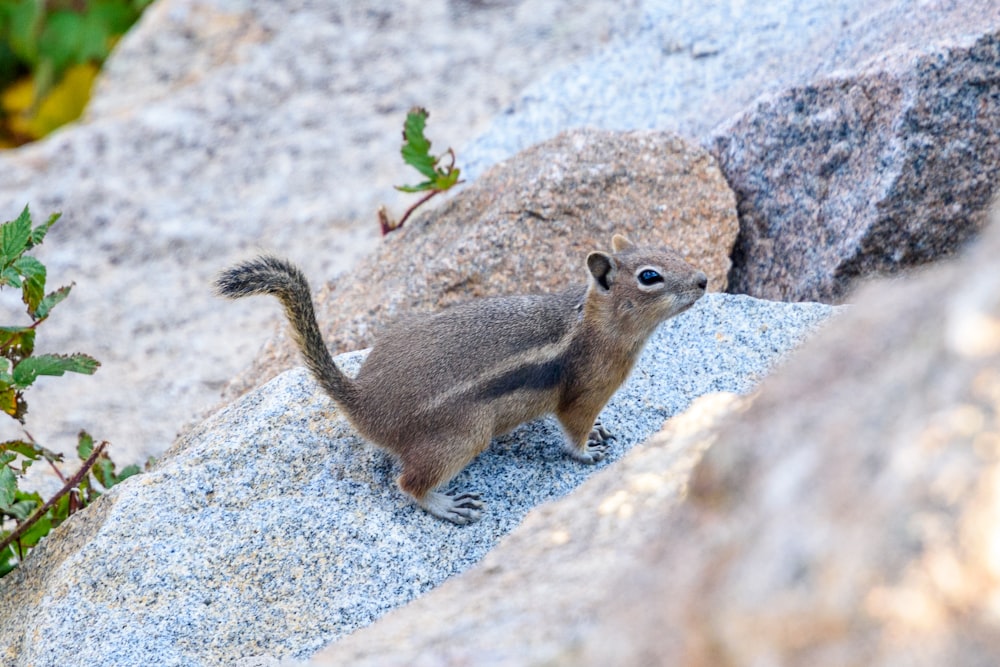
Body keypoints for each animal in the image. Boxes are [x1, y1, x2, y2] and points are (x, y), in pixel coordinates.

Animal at [215, 236, 708, 528]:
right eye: (649, 276)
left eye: (669, 249)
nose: (704, 279)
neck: (595, 324)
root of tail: (364, 401)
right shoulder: (584, 393)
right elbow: (574, 431)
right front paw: (587, 451)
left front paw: (601, 432)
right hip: (464, 436)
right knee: (407, 484)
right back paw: (447, 505)